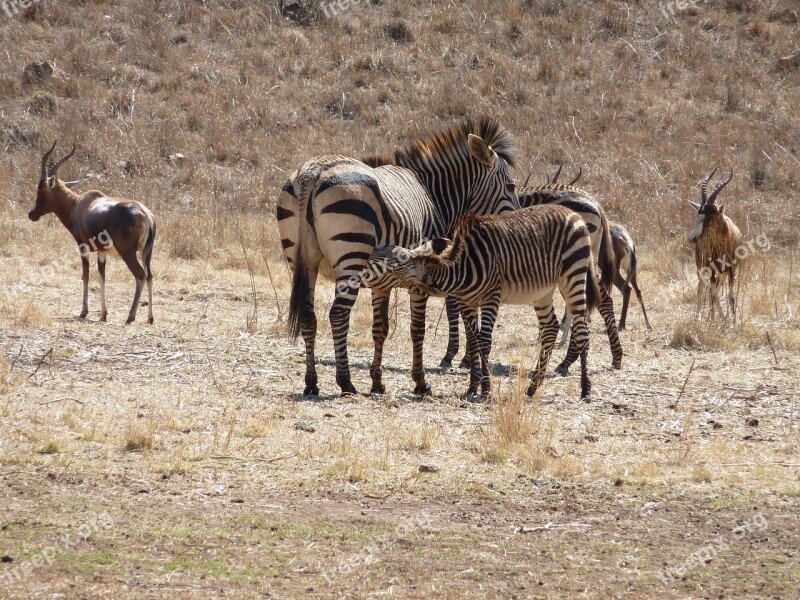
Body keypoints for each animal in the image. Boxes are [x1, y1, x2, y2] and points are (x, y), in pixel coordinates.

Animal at [28, 140, 156, 324]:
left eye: (40, 190)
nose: (31, 214)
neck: (78, 205)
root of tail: (145, 214)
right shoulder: (102, 252)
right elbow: (102, 277)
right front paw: (103, 314)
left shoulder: (82, 246)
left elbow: (86, 275)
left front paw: (84, 312)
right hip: (147, 252)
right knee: (150, 276)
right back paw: (150, 318)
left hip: (127, 251)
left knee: (140, 275)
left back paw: (130, 317)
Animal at [280, 117, 520, 398]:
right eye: (511, 186)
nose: (517, 226)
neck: (433, 194)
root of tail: (313, 172)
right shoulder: (420, 276)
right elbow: (417, 330)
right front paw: (420, 383)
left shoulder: (381, 284)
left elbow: (380, 329)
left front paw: (377, 383)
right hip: (351, 256)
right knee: (338, 314)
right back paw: (346, 382)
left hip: (302, 262)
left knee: (309, 316)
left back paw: (311, 383)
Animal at [372, 206, 604, 404]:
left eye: (401, 257)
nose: (374, 251)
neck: (463, 269)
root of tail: (573, 213)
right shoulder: (467, 302)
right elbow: (473, 341)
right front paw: (473, 387)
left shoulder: (492, 297)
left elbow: (484, 342)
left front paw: (486, 388)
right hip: (544, 291)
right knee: (550, 328)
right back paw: (532, 387)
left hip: (573, 274)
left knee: (582, 330)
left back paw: (585, 389)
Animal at [438, 180, 624, 376]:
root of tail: (595, 203)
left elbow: (453, 309)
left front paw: (453, 356)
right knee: (599, 300)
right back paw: (610, 357)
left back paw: (572, 360)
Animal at [688, 169, 744, 324]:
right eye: (697, 216)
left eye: (710, 217)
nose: (692, 238)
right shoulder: (712, 270)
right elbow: (712, 295)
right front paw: (712, 321)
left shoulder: (731, 270)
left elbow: (730, 296)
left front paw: (733, 322)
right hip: (702, 268)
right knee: (702, 289)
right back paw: (698, 316)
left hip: (722, 273)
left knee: (716, 290)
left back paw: (722, 318)